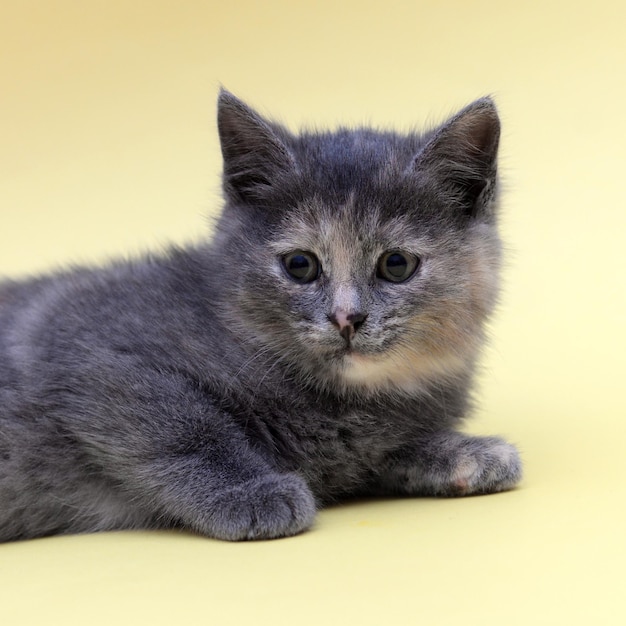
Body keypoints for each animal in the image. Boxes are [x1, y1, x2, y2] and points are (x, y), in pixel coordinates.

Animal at [0, 89, 520, 540]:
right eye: (300, 265)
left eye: (396, 264)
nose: (346, 318)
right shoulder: (85, 341)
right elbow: (187, 425)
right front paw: (249, 492)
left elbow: (381, 452)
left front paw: (464, 452)